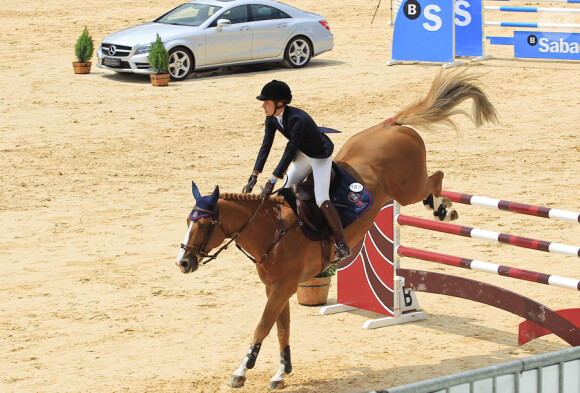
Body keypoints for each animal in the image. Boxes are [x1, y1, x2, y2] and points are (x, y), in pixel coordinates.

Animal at [176, 71, 498, 388]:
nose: (183, 263)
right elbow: (282, 327)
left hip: (407, 187)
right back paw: (440, 206)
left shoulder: (283, 286)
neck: (271, 230)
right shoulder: (276, 286)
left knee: (435, 178)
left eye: (203, 224)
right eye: (188, 222)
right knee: (431, 184)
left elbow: (263, 326)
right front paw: (281, 372)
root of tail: (391, 124)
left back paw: (444, 209)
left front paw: (242, 370)